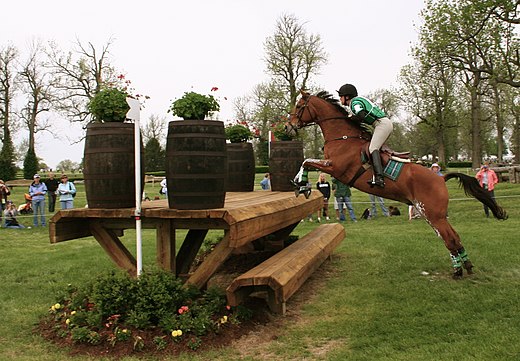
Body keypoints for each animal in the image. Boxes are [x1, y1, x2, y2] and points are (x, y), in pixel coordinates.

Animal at [286, 90, 506, 278]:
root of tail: (440, 178)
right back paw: (466, 266)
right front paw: (300, 184)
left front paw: (302, 185)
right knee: (454, 237)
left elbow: (307, 161)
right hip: (432, 214)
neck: (343, 136)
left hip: (432, 214)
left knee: (449, 238)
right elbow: (307, 162)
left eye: (299, 106)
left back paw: (458, 271)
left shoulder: (336, 168)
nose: (288, 126)